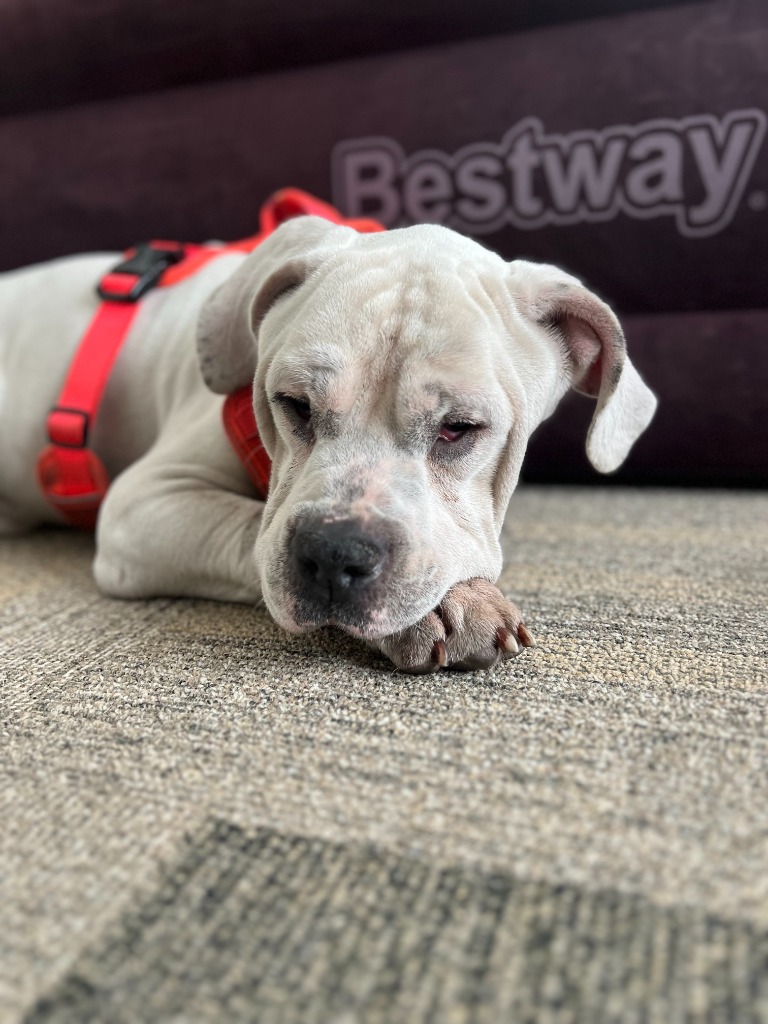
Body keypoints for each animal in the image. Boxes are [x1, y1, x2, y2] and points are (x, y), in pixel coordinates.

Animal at [1, 216, 663, 671]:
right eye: (293, 404)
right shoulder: (142, 505)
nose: (335, 552)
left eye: (459, 428)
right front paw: (449, 607)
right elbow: (248, 528)